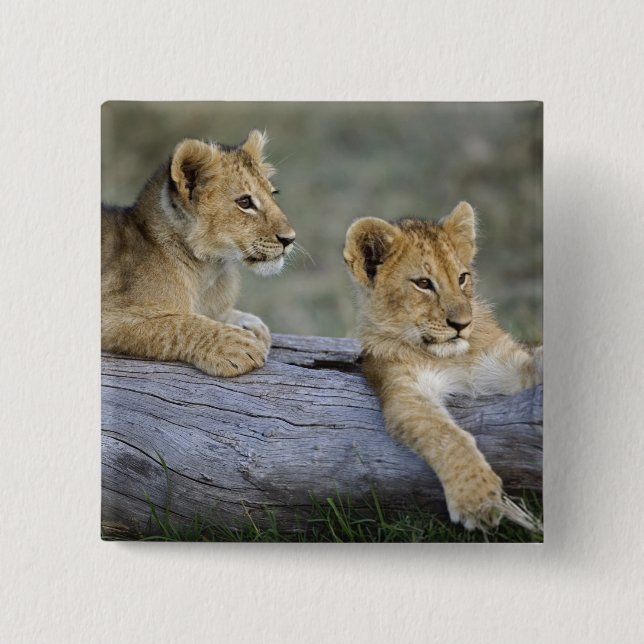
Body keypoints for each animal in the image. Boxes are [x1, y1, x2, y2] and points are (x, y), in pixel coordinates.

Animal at [102, 130, 296, 377]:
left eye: (273, 194)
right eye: (244, 202)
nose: (290, 239)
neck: (209, 272)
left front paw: (249, 323)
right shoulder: (109, 315)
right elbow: (173, 325)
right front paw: (236, 345)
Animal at [343, 202, 542, 531]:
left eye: (462, 278)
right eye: (424, 284)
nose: (462, 324)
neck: (452, 356)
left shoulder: (506, 363)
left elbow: (536, 363)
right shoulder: (403, 389)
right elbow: (446, 435)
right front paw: (477, 500)